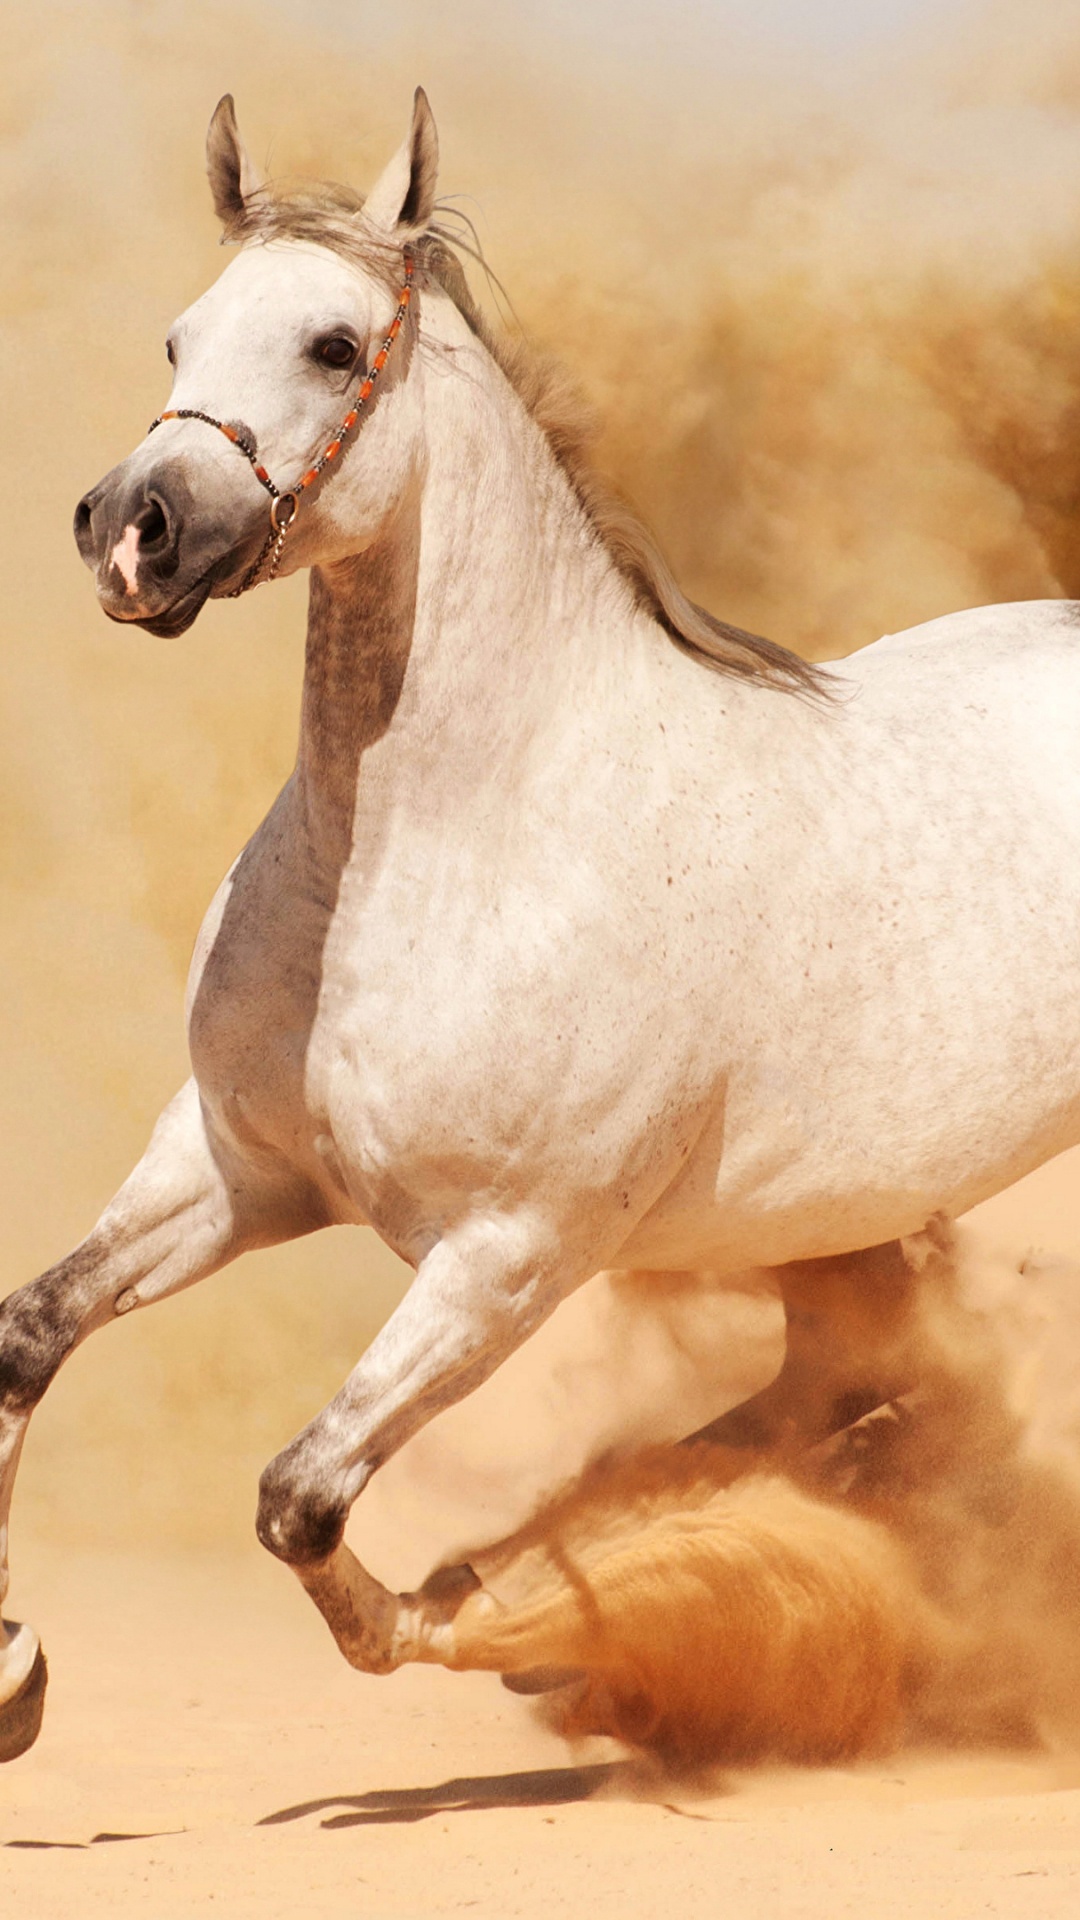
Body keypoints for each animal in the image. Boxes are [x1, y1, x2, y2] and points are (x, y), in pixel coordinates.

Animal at [2, 87, 1079, 1761]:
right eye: (179, 338)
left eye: (331, 344)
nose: (131, 527)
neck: (452, 851)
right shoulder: (236, 1169)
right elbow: (28, 1338)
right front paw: (12, 1673)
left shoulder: (509, 1254)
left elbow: (303, 1501)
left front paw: (482, 1615)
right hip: (849, 1221)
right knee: (833, 1389)